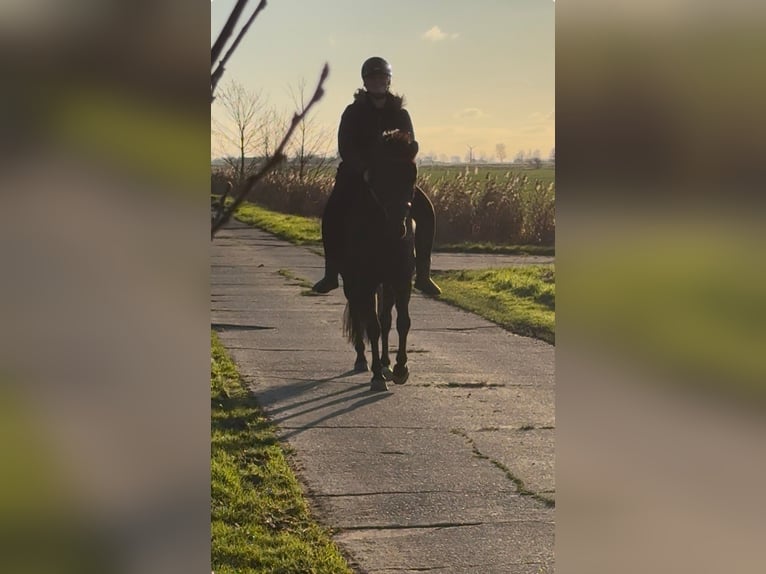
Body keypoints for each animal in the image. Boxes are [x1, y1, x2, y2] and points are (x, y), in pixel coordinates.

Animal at [340, 129, 418, 392]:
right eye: (381, 177)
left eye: (412, 176)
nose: (398, 227)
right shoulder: (365, 281)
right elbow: (372, 327)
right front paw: (376, 377)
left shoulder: (402, 280)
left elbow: (402, 322)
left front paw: (400, 368)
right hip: (353, 283)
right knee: (360, 315)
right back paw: (362, 360)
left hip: (386, 284)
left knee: (385, 318)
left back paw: (385, 363)